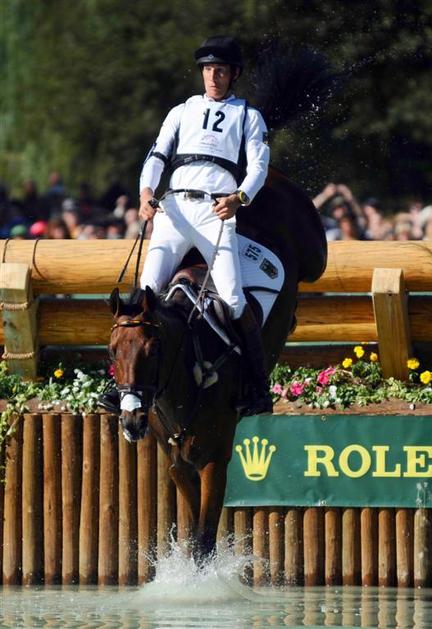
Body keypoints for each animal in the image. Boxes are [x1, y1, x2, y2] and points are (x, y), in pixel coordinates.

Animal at [108, 167, 328, 560]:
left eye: (153, 350)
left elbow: (204, 540)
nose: (132, 421)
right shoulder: (178, 463)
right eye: (111, 351)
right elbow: (192, 533)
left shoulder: (214, 460)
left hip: (313, 251)